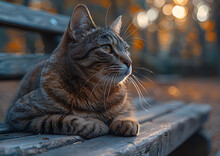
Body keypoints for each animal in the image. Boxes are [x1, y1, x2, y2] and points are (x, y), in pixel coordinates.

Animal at [6, 3, 140, 139]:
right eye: (106, 47)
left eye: (126, 49)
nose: (129, 62)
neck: (97, 91)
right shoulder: (19, 114)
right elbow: (61, 119)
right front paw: (93, 123)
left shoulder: (126, 104)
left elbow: (125, 111)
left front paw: (125, 120)